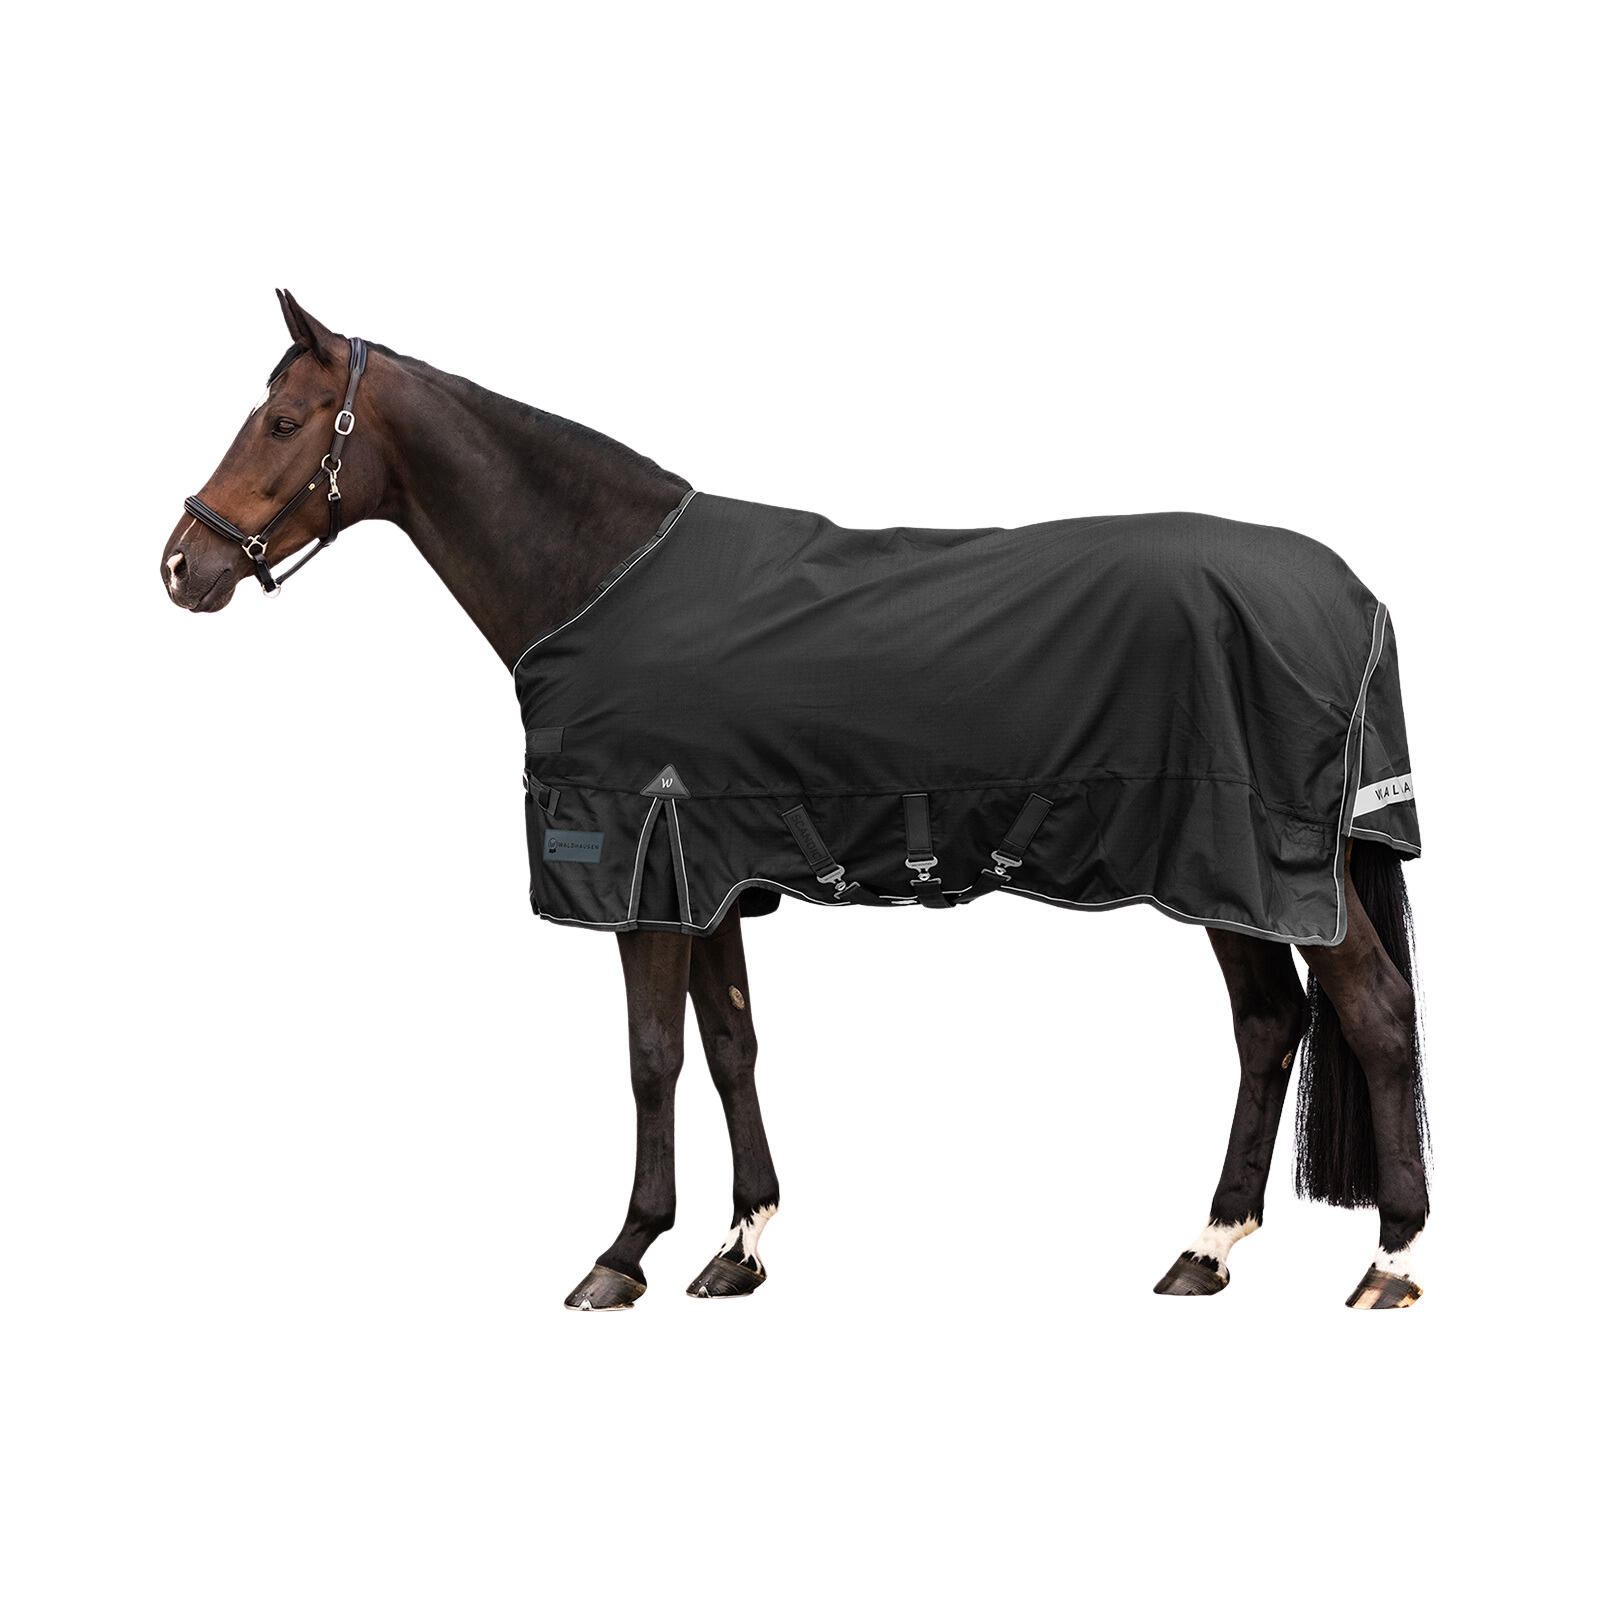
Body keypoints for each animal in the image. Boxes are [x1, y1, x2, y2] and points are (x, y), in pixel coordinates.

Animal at [161, 291, 1429, 1311]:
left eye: (283, 423)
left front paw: (622, 1254)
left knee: (1371, 1011)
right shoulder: (713, 871)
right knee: (1267, 1026)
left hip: (1262, 861)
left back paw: (1391, 1261)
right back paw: (1206, 1249)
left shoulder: (641, 872)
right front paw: (739, 1246)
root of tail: (1352, 597)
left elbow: (651, 1060)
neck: (602, 578)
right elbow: (731, 1046)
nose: (182, 565)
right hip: (1225, 875)